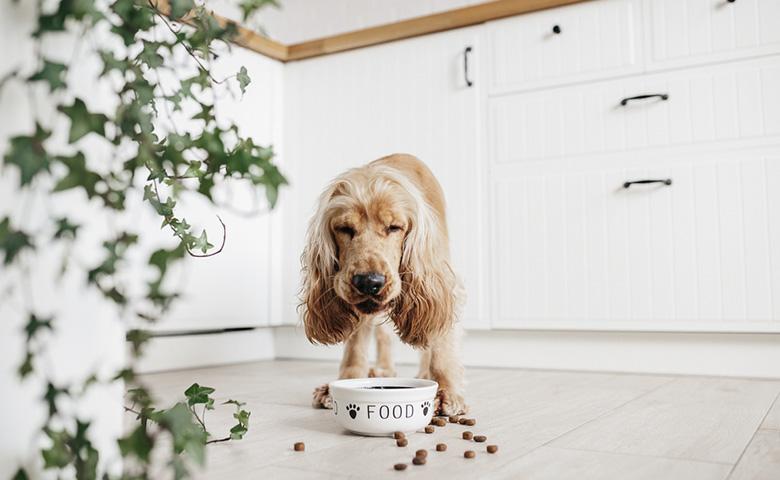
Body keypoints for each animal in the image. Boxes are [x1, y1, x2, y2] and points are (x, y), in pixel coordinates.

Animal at [300, 152, 466, 414]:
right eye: (344, 228)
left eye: (394, 227)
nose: (369, 282)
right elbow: (355, 344)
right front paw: (345, 381)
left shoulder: (442, 283)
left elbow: (441, 340)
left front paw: (447, 392)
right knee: (382, 334)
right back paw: (384, 370)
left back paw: (424, 373)